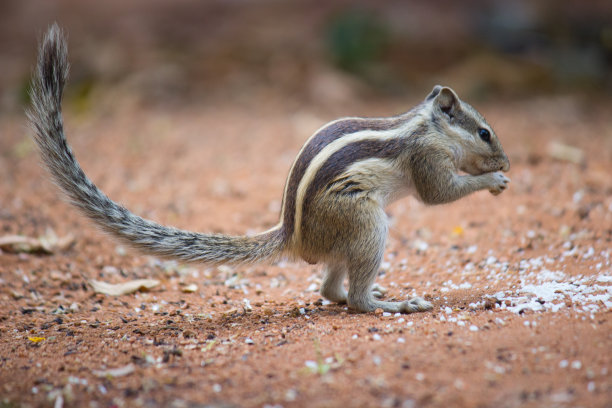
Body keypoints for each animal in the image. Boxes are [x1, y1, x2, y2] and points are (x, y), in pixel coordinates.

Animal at [26, 23, 510, 314]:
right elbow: (438, 195)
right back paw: (388, 305)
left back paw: (367, 292)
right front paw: (493, 179)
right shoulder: (427, 159)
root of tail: (292, 236)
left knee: (329, 290)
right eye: (485, 133)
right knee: (353, 300)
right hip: (366, 224)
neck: (428, 125)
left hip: (351, 236)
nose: (507, 160)